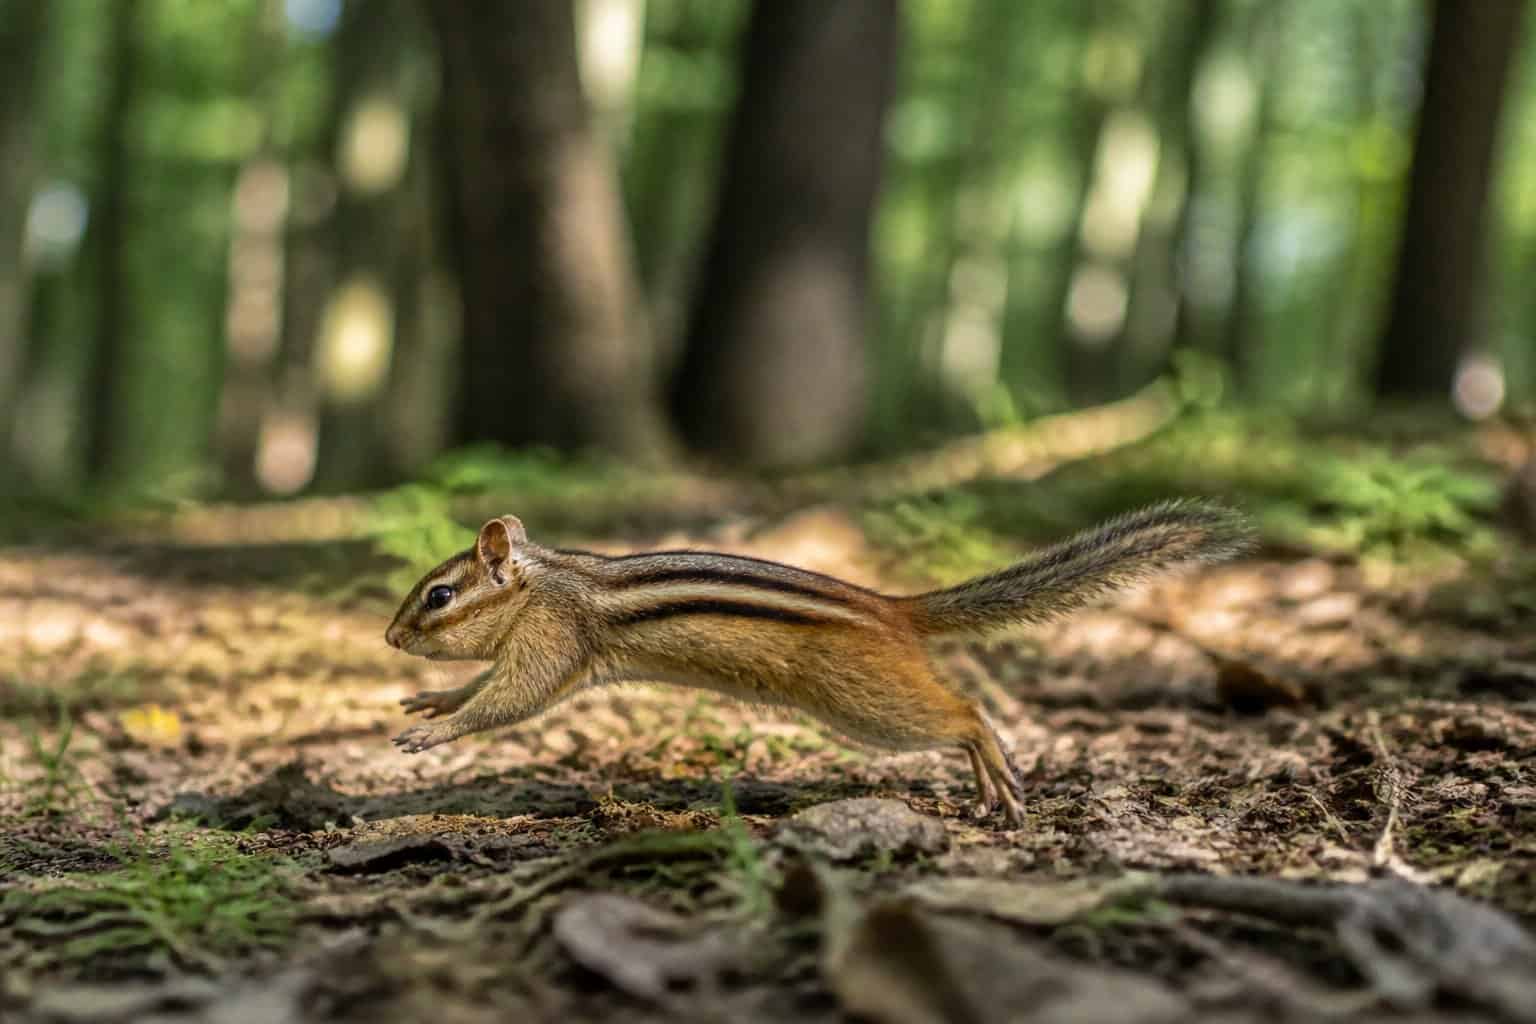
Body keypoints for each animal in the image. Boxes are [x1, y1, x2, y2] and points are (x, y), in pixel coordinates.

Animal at [385, 499, 1251, 825]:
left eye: (437, 595)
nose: (390, 641)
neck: (545, 582)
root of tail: (896, 608)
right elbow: (489, 685)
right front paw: (435, 703)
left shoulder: (556, 640)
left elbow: (514, 699)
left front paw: (437, 732)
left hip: (867, 705)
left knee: (966, 712)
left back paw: (997, 774)